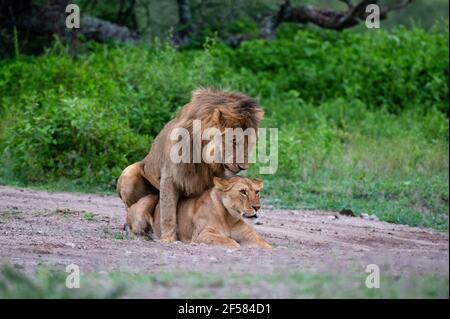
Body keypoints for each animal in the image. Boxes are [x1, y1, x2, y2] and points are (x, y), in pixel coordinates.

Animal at [117, 87, 264, 242]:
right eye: (234, 141)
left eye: (251, 142)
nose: (244, 167)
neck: (203, 158)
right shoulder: (170, 176)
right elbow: (168, 212)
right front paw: (169, 239)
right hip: (129, 173)